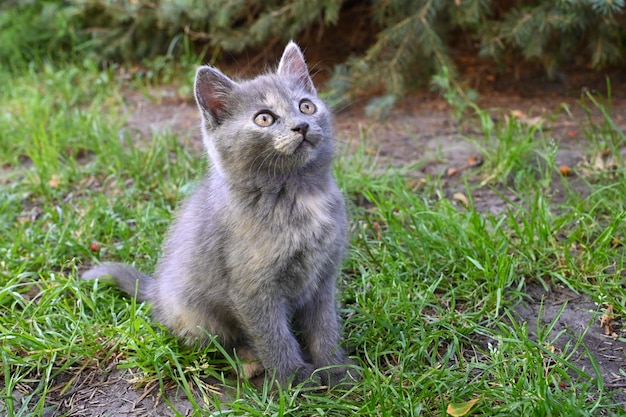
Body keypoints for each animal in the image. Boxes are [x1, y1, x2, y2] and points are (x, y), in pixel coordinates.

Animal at [83, 42, 356, 386]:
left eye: (306, 106)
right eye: (264, 118)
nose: (302, 126)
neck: (297, 195)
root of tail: (156, 291)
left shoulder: (324, 276)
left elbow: (324, 326)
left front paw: (335, 370)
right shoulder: (252, 290)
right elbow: (273, 336)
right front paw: (295, 380)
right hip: (196, 315)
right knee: (222, 342)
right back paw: (249, 361)